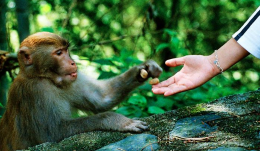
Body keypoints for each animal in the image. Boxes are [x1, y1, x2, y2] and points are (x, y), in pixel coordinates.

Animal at [0, 31, 162, 150]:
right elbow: (52, 135)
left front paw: (144, 69)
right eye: (59, 53)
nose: (73, 63)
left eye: (66, 50)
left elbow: (102, 97)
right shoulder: (34, 92)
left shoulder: (72, 80)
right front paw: (118, 121)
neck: (44, 77)